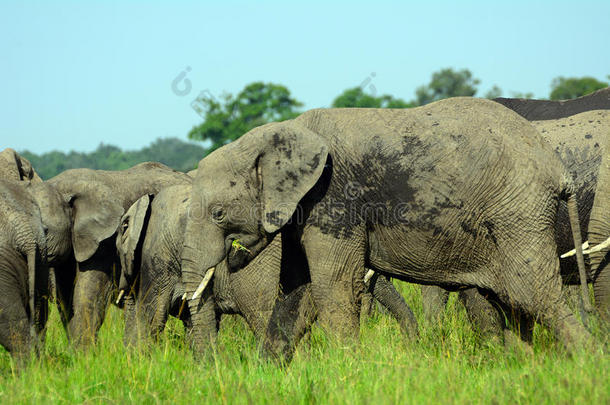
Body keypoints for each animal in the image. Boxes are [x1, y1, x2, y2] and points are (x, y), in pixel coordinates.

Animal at [179, 98, 588, 360]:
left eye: (218, 213)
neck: (280, 134)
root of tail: (558, 168)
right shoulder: (302, 211)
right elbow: (300, 291)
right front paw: (267, 375)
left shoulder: (333, 198)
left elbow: (333, 287)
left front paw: (348, 372)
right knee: (511, 300)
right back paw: (524, 369)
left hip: (518, 210)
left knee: (530, 293)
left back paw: (586, 365)